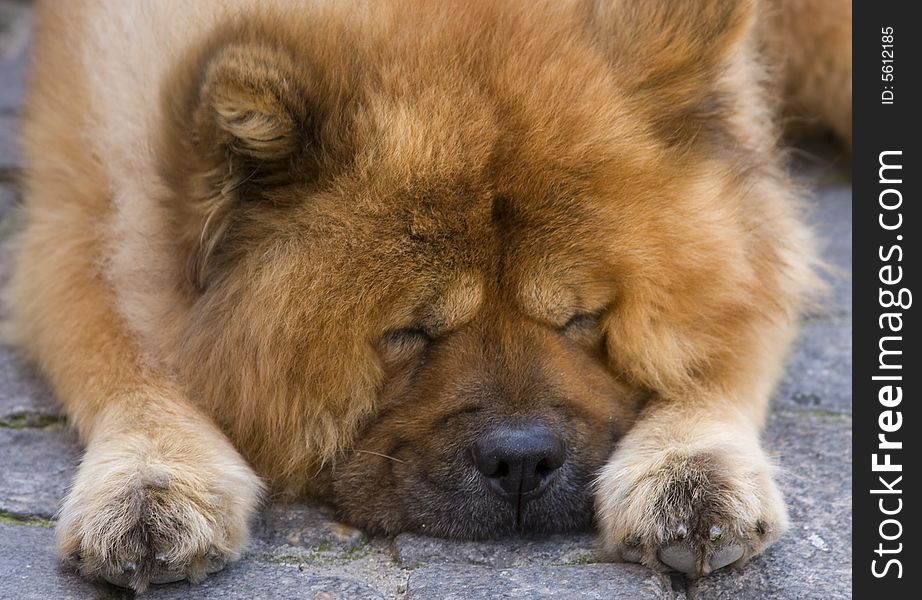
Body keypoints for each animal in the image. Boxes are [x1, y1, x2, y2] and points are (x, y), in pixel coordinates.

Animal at [5, 0, 848, 592]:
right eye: (409, 334)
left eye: (581, 319)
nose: (522, 461)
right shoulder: (81, 212)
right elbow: (122, 355)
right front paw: (151, 480)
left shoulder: (757, 224)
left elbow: (722, 343)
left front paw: (690, 470)